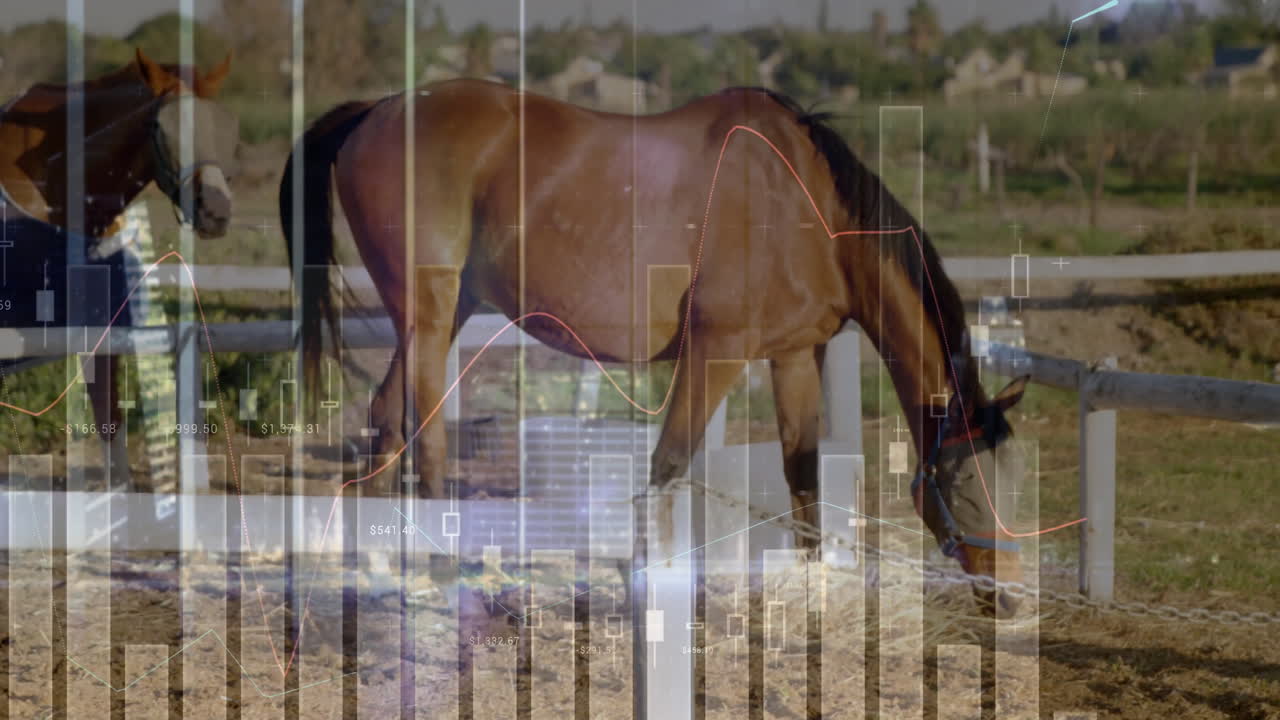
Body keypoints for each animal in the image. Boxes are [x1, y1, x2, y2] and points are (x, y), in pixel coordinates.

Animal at [281, 79, 1030, 617]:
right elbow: (667, 465)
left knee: (383, 420)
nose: (1014, 597)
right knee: (425, 436)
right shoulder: (716, 351)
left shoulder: (793, 355)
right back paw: (440, 569)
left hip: (436, 316)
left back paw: (379, 571)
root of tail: (378, 110)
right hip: (431, 315)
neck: (802, 204)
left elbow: (803, 477)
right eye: (965, 486)